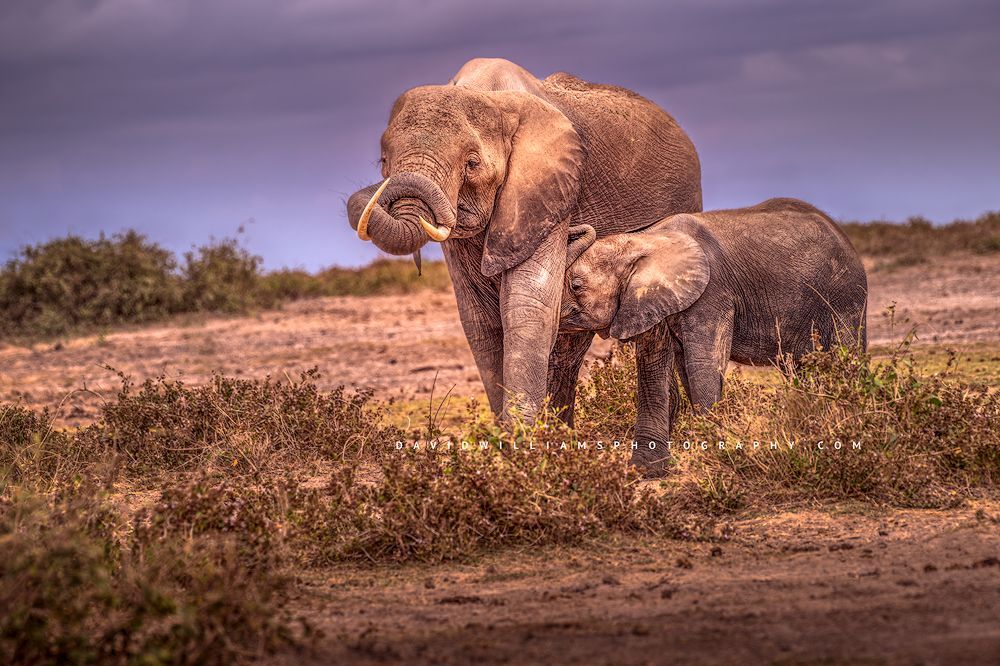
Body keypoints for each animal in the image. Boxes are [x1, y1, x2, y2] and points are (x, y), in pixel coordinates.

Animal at [346, 58, 701, 423]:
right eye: (383, 161)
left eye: (471, 164)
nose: (580, 231)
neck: (485, 95)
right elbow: (480, 320)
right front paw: (511, 434)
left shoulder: (548, 193)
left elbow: (527, 305)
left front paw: (520, 433)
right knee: (569, 347)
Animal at [559, 198, 868, 475]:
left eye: (576, 285)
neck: (643, 240)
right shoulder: (649, 299)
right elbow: (655, 365)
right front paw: (646, 470)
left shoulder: (712, 294)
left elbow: (702, 364)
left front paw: (711, 456)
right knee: (802, 368)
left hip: (844, 297)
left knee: (845, 357)